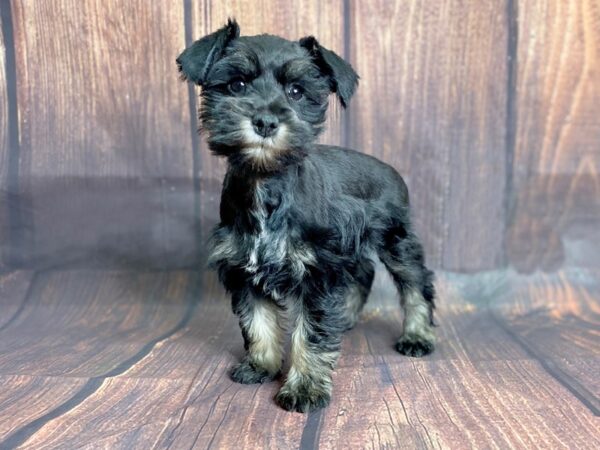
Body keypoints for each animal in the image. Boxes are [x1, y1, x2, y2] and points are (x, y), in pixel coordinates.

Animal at [177, 19, 436, 414]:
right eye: (236, 85)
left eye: (297, 91)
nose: (266, 121)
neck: (266, 182)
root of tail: (389, 169)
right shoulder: (245, 270)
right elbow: (258, 322)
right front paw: (260, 366)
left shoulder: (317, 274)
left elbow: (310, 335)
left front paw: (305, 388)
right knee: (364, 271)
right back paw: (345, 318)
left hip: (396, 241)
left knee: (416, 283)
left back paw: (417, 336)